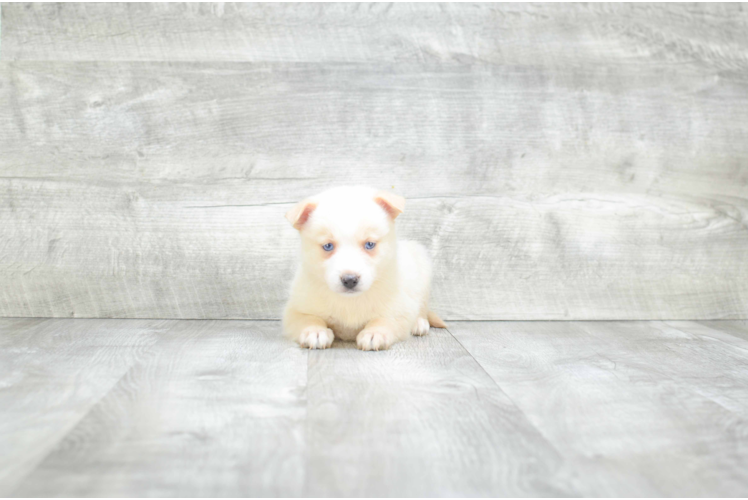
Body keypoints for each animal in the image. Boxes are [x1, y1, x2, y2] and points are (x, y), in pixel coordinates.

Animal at [280, 186, 444, 350]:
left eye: (369, 244)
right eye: (328, 246)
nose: (350, 280)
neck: (351, 300)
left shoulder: (400, 307)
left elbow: (385, 319)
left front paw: (374, 333)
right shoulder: (295, 309)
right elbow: (308, 319)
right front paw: (315, 331)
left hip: (423, 272)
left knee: (422, 308)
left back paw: (419, 323)